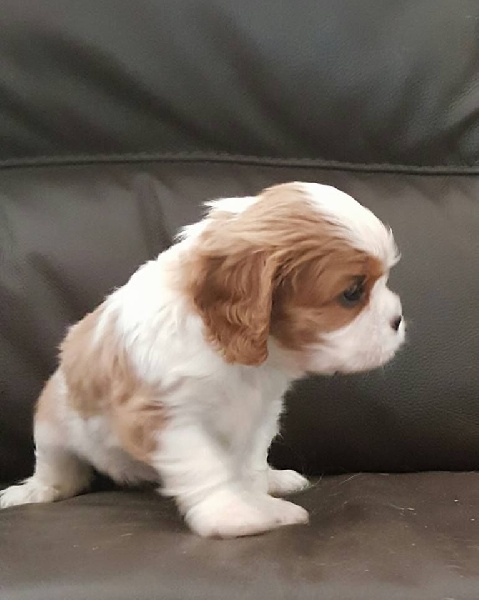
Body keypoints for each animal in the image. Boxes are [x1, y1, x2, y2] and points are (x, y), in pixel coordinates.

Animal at [0, 182, 405, 538]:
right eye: (352, 293)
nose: (398, 319)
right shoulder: (165, 417)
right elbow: (206, 467)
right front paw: (235, 514)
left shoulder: (260, 414)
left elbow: (249, 464)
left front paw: (259, 497)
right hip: (52, 423)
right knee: (58, 472)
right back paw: (35, 490)